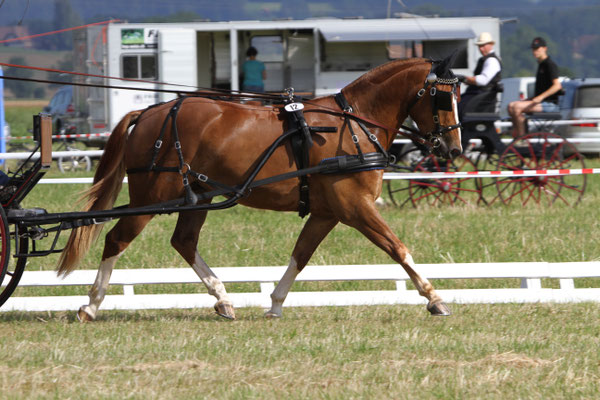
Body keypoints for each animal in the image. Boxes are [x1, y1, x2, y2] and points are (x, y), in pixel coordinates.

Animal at [58, 55, 462, 322]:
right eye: (443, 97)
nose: (453, 149)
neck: (354, 125)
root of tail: (149, 112)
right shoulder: (355, 207)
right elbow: (398, 248)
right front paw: (434, 298)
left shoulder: (327, 212)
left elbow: (301, 255)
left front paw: (276, 303)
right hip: (153, 197)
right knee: (116, 239)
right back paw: (90, 305)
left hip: (196, 198)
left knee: (184, 242)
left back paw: (223, 300)